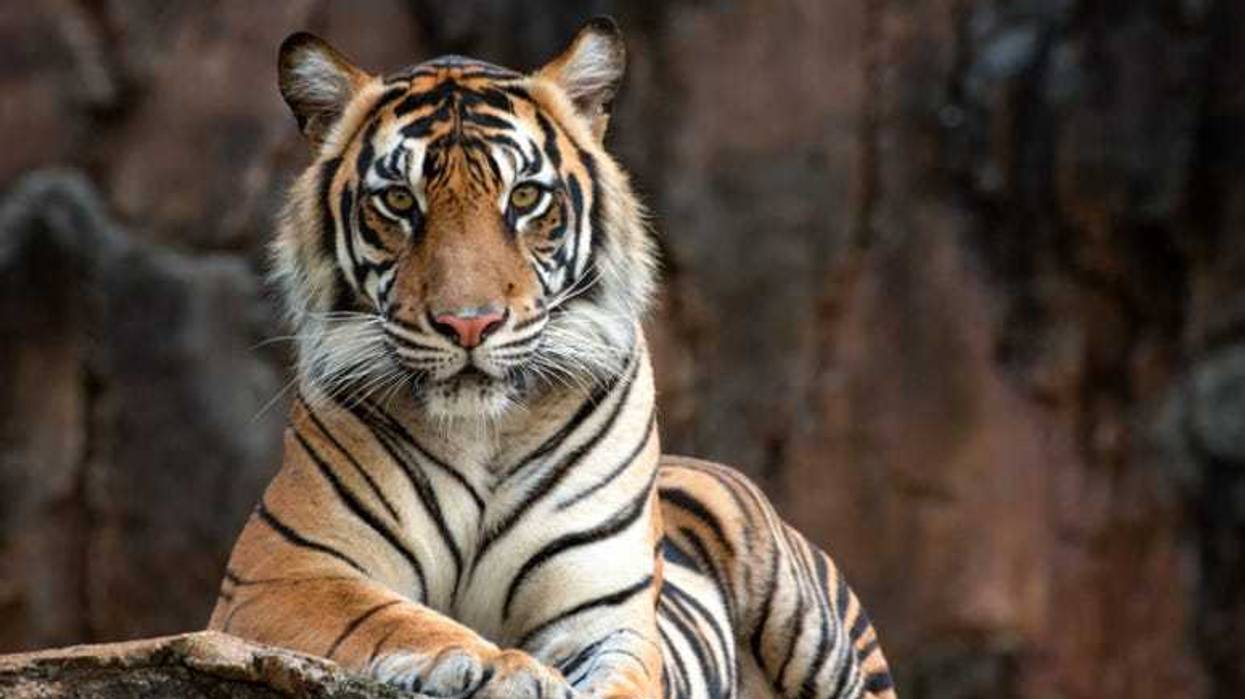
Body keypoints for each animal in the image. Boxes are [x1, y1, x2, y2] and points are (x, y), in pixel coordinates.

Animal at [208, 17, 896, 699]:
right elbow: (393, 616)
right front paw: (497, 665)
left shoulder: (607, 615)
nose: (469, 323)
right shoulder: (285, 572)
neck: (482, 431)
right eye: (400, 202)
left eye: (524, 198)